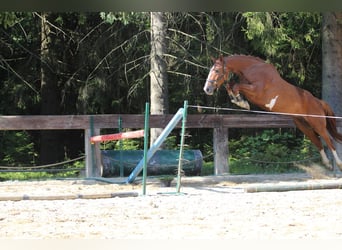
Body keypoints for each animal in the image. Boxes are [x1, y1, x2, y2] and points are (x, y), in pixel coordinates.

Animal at [204, 54, 342, 171]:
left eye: (217, 71)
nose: (207, 89)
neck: (252, 69)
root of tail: (318, 101)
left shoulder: (256, 92)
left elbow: (236, 86)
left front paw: (241, 102)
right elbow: (231, 85)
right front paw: (238, 100)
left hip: (318, 124)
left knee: (329, 141)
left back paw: (338, 164)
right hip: (304, 126)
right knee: (318, 142)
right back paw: (327, 164)